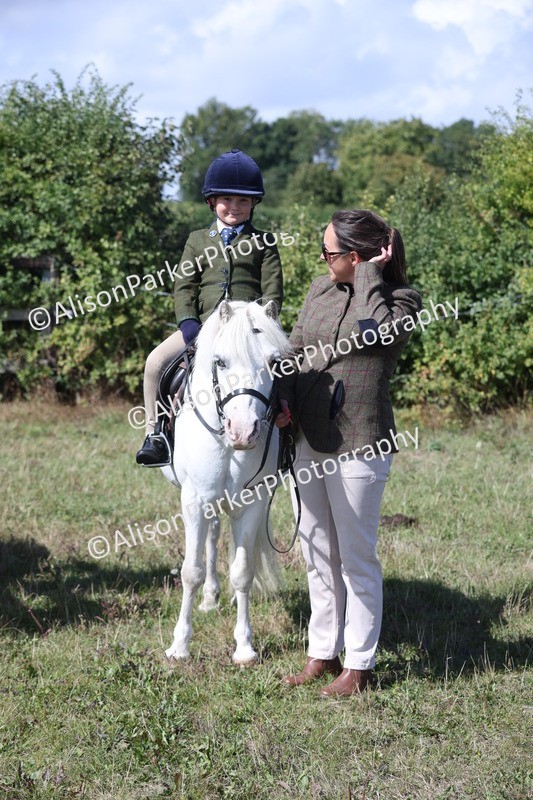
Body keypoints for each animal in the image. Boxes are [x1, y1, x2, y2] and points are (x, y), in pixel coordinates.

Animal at [161, 299, 294, 664]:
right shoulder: (194, 501)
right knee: (211, 537)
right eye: (220, 361)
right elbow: (190, 571)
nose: (244, 431)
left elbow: (243, 571)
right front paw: (179, 645)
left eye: (275, 362)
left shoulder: (252, 502)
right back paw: (209, 599)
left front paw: (245, 647)